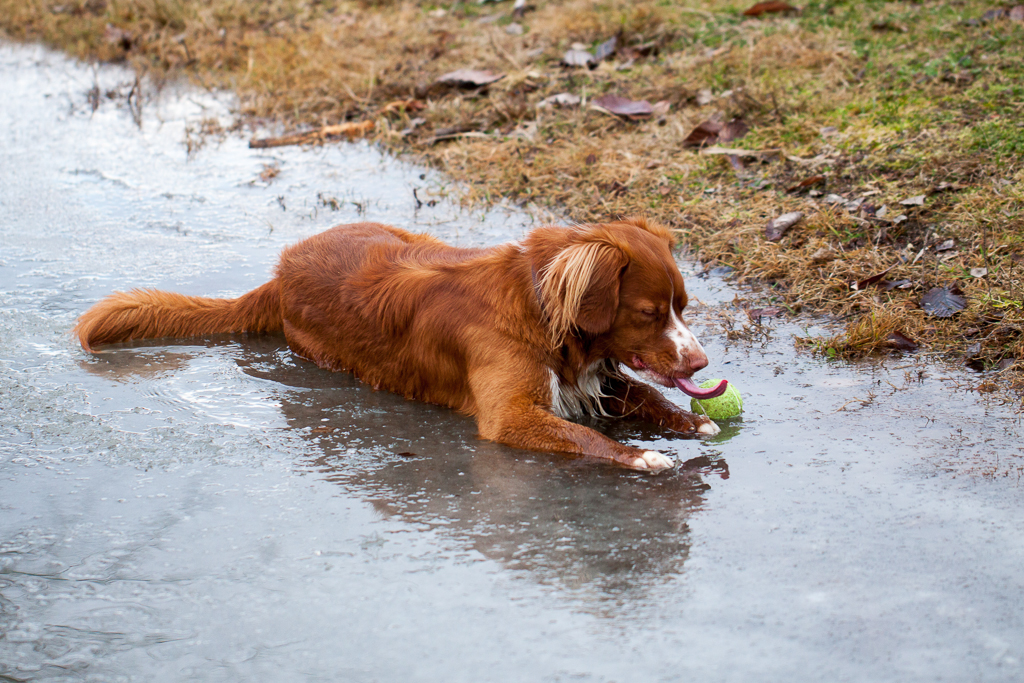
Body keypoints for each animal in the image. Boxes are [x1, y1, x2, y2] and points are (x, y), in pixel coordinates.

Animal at [74, 218, 729, 471]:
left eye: (683, 307)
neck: (539, 308)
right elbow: (585, 436)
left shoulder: (590, 375)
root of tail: (280, 273)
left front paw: (692, 421)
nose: (700, 363)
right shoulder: (511, 414)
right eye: (648, 313)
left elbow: (644, 395)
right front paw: (641, 457)